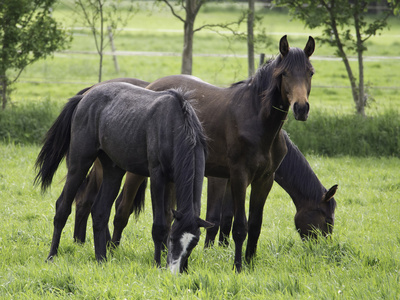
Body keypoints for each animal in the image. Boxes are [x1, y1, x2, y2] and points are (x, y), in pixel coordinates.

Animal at [34, 83, 211, 274]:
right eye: (173, 239)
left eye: (193, 243)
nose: (174, 271)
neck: (174, 124)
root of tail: (84, 98)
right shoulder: (158, 177)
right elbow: (160, 226)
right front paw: (157, 264)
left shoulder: (171, 181)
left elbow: (167, 217)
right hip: (79, 164)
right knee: (62, 207)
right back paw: (52, 256)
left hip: (113, 171)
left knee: (100, 211)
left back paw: (101, 259)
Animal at [144, 35, 316, 272]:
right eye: (284, 74)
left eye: (310, 72)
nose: (301, 108)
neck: (258, 122)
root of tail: (151, 85)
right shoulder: (238, 176)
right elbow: (239, 225)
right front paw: (238, 266)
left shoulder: (264, 179)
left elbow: (255, 224)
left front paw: (250, 262)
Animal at [205, 130, 340, 247]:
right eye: (328, 220)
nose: (324, 246)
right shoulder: (218, 179)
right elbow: (213, 219)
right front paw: (209, 253)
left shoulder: (232, 181)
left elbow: (227, 218)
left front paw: (223, 249)